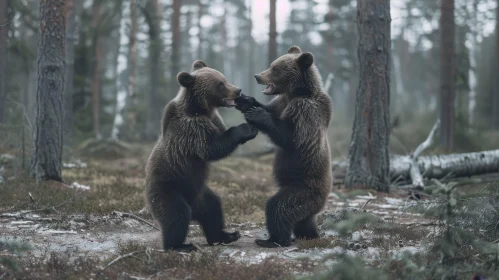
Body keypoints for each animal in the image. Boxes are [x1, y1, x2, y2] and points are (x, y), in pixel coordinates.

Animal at [145, 60, 260, 252]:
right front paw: (246, 128)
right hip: (168, 189)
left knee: (213, 209)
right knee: (176, 215)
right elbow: (212, 147)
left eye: (224, 79)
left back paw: (225, 235)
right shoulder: (191, 129)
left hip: (200, 194)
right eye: (220, 84)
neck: (201, 109)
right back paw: (180, 245)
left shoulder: (214, 118)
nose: (238, 90)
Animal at [236, 47, 334, 248]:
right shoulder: (280, 103)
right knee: (304, 220)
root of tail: (323, 200)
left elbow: (291, 138)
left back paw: (273, 240)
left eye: (275, 68)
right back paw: (309, 235)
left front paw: (258, 114)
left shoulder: (305, 111)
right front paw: (245, 101)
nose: (257, 76)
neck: (296, 93)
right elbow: (267, 107)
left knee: (278, 207)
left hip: (303, 189)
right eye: (271, 65)